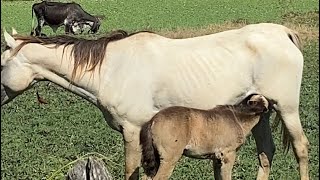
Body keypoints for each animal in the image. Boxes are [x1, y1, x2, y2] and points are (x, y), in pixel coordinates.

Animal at [140, 94, 272, 180]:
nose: (268, 109)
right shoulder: (228, 155)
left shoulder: (217, 159)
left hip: (156, 159)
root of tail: (153, 120)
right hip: (169, 159)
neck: (238, 118)